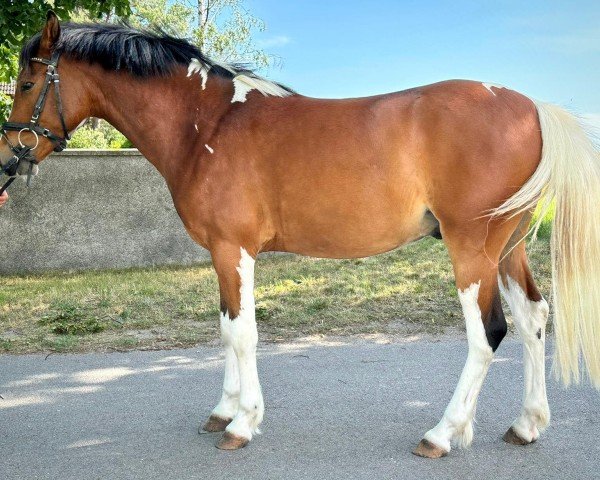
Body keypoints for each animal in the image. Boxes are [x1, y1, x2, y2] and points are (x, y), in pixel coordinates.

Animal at [1, 12, 600, 458]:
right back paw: (526, 424)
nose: (9, 156)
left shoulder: (234, 249)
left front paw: (243, 424)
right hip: (508, 247)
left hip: (472, 249)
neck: (206, 124)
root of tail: (532, 107)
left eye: (27, 83)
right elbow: (226, 328)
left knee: (487, 333)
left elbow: (243, 333)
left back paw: (442, 434)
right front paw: (223, 411)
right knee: (533, 318)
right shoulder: (223, 254)